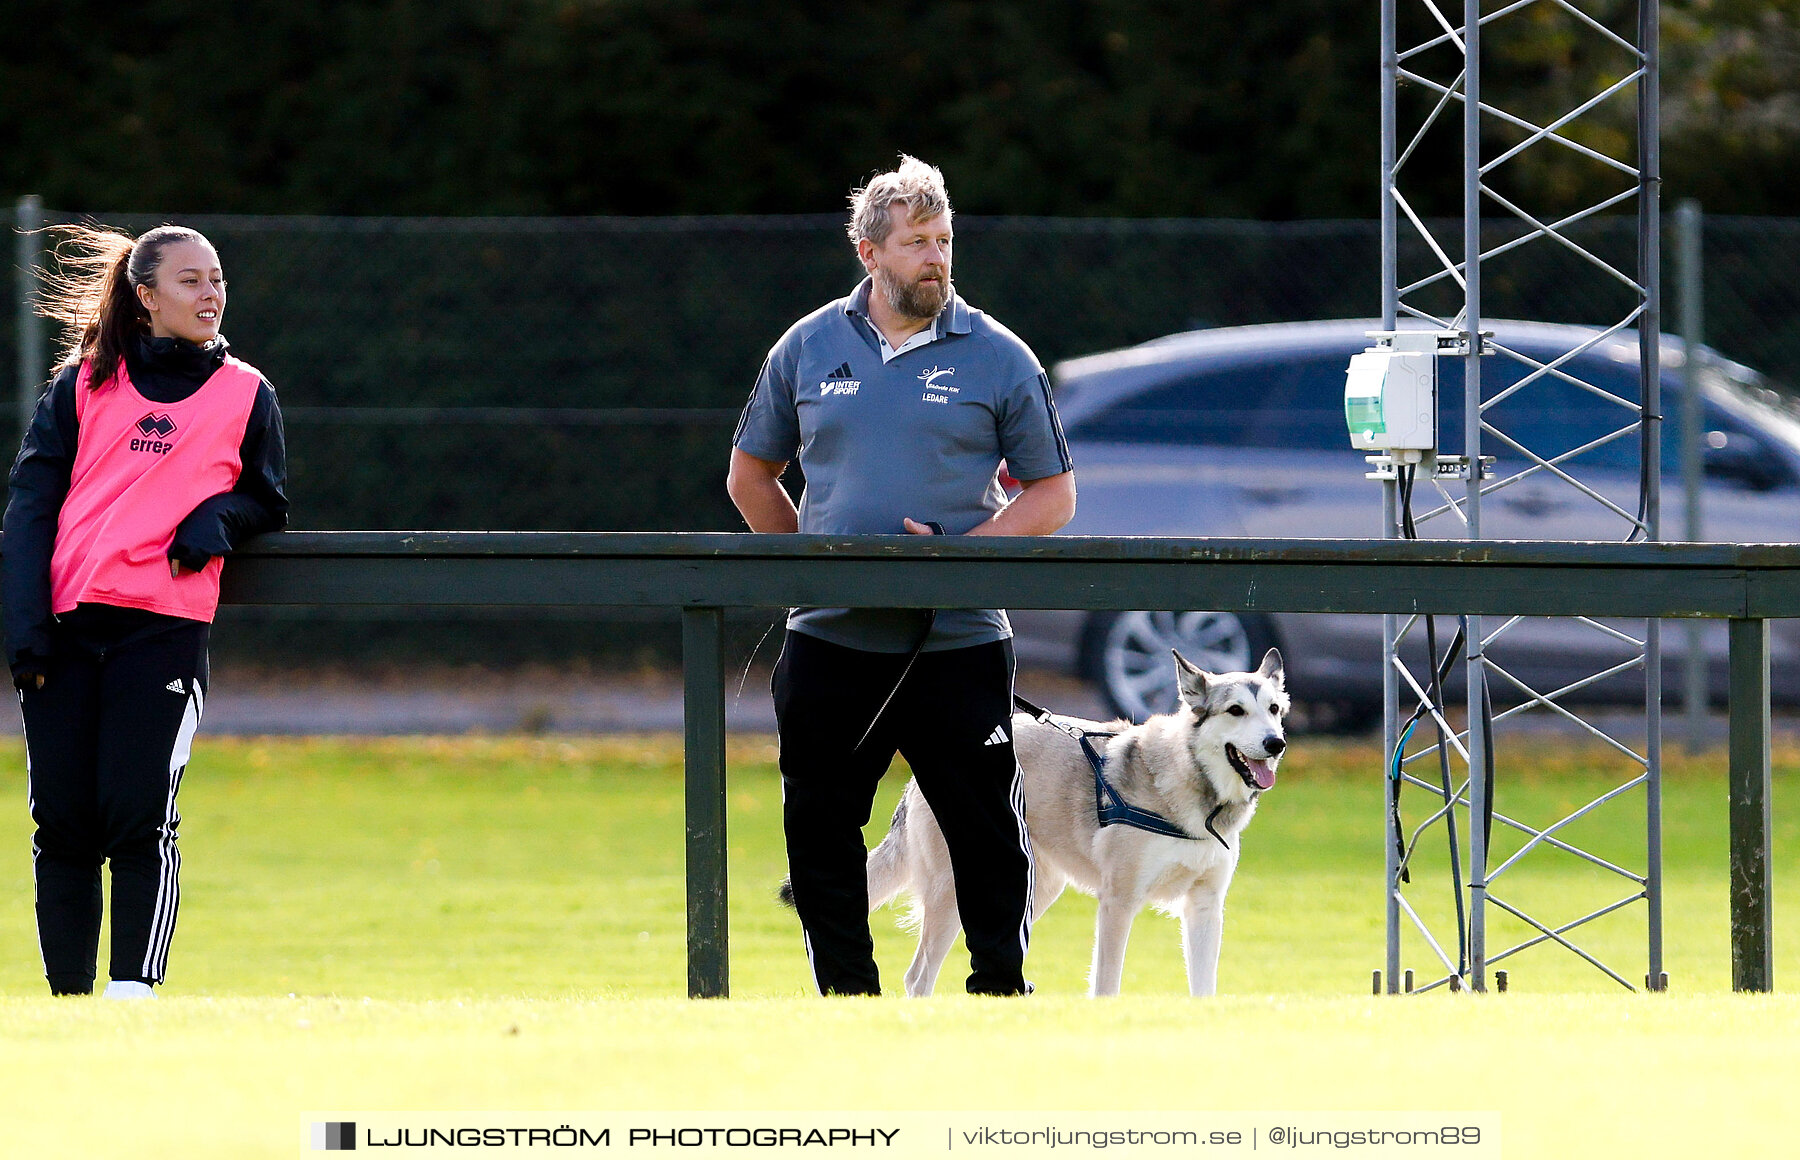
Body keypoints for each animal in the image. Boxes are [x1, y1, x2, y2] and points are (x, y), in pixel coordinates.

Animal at [867, 648, 1281, 994]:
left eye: (1274, 709)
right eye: (1236, 711)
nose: (1276, 743)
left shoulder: (1205, 906)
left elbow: (1203, 988)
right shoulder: (1118, 902)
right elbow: (1107, 985)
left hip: (1029, 893)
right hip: (955, 895)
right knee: (918, 977)